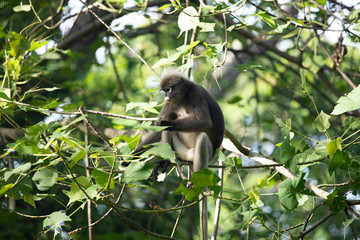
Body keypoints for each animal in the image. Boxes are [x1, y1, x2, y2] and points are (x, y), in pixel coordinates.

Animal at [132, 71, 224, 240]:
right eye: (164, 91)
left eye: (168, 89)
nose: (166, 96)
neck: (182, 98)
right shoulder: (170, 104)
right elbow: (158, 130)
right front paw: (131, 157)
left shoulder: (196, 93)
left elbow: (205, 122)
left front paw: (164, 123)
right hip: (181, 149)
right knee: (170, 127)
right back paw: (165, 162)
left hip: (204, 154)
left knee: (201, 137)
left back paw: (196, 183)